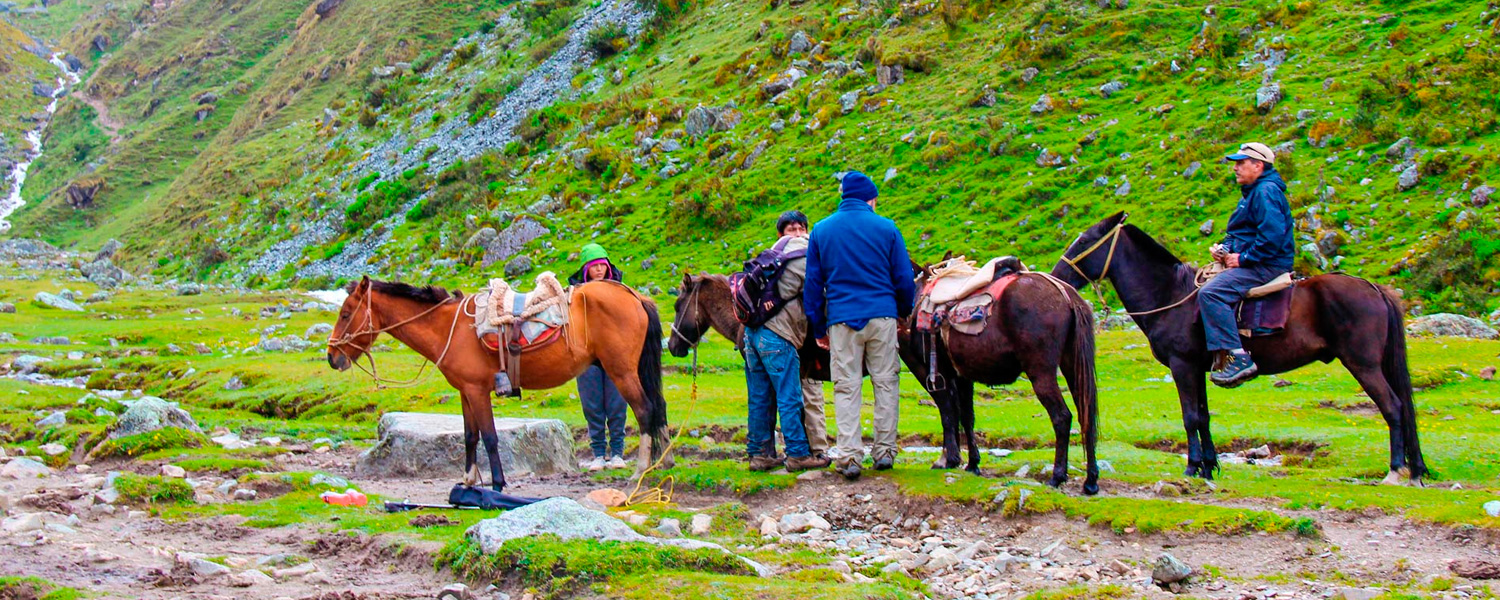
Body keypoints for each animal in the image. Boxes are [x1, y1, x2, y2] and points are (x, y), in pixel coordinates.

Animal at [328, 274, 669, 489]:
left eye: (345, 314)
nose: (332, 357)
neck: (448, 327)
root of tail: (634, 296)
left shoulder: (478, 391)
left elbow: (490, 437)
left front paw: (497, 485)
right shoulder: (466, 391)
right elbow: (470, 436)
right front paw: (468, 481)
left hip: (621, 371)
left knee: (645, 411)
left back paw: (641, 470)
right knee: (659, 408)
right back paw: (664, 461)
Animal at [1050, 213, 1422, 486]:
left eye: (1084, 241)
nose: (1057, 273)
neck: (1170, 295)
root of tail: (1372, 287)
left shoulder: (1182, 365)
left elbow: (1190, 417)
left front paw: (1192, 467)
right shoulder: (1197, 369)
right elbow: (1203, 416)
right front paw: (1208, 466)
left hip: (1363, 364)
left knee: (1393, 406)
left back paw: (1395, 470)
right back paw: (1415, 469)